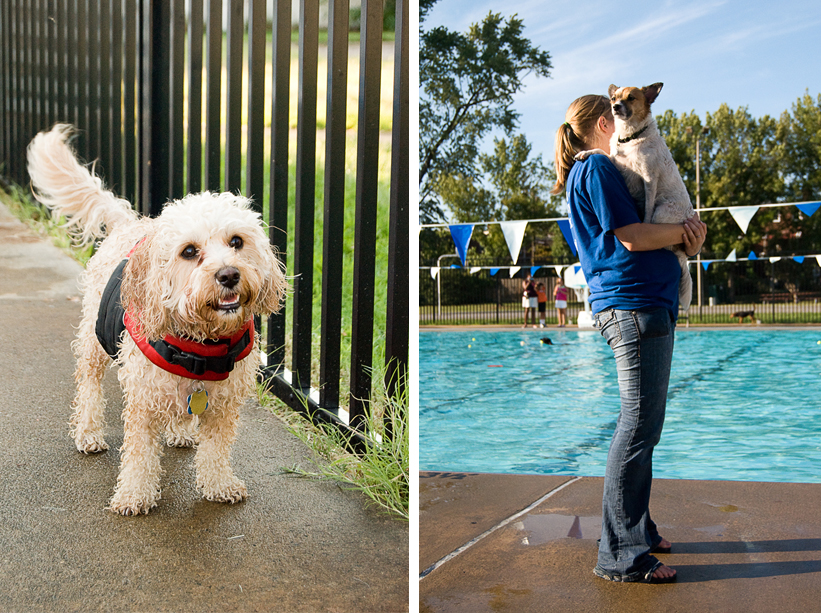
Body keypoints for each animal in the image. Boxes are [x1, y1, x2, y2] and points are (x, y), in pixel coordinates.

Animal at [27, 125, 288, 516]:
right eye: (189, 252)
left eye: (237, 242)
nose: (229, 275)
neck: (200, 347)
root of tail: (129, 224)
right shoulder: (143, 400)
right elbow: (140, 454)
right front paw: (135, 494)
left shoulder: (223, 404)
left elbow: (216, 449)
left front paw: (218, 484)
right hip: (94, 341)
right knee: (88, 386)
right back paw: (88, 432)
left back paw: (180, 433)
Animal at [576, 82, 692, 310]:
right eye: (614, 98)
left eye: (631, 98)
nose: (616, 107)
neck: (630, 137)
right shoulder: (615, 162)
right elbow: (601, 153)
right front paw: (586, 152)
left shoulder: (649, 179)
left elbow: (646, 213)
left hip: (662, 212)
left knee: (666, 243)